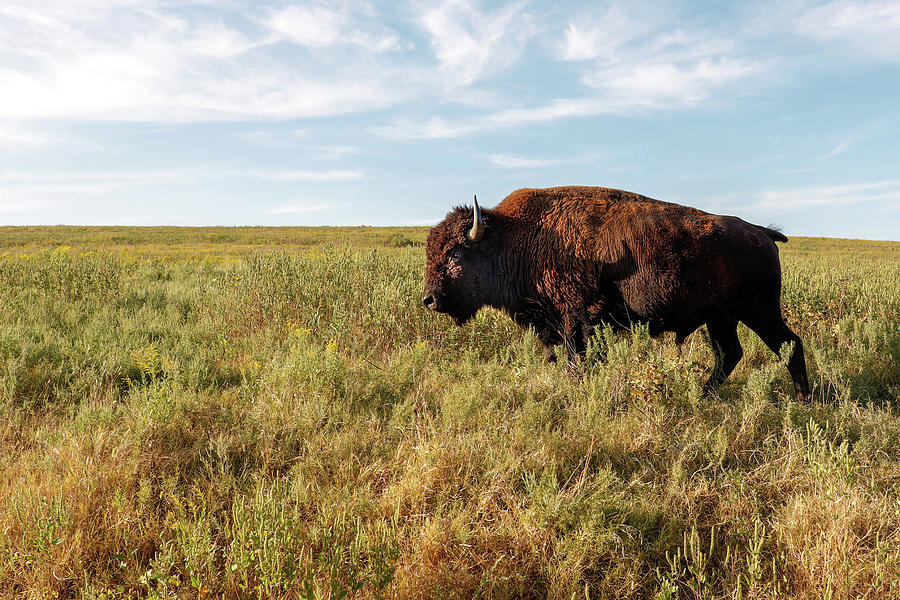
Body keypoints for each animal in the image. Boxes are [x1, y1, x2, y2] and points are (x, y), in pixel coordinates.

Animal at [426, 185, 812, 400]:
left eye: (455, 253)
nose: (429, 299)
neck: (516, 237)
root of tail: (760, 232)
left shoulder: (578, 318)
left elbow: (577, 359)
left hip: (758, 310)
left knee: (789, 344)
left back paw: (804, 401)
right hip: (721, 317)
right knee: (730, 354)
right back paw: (705, 396)